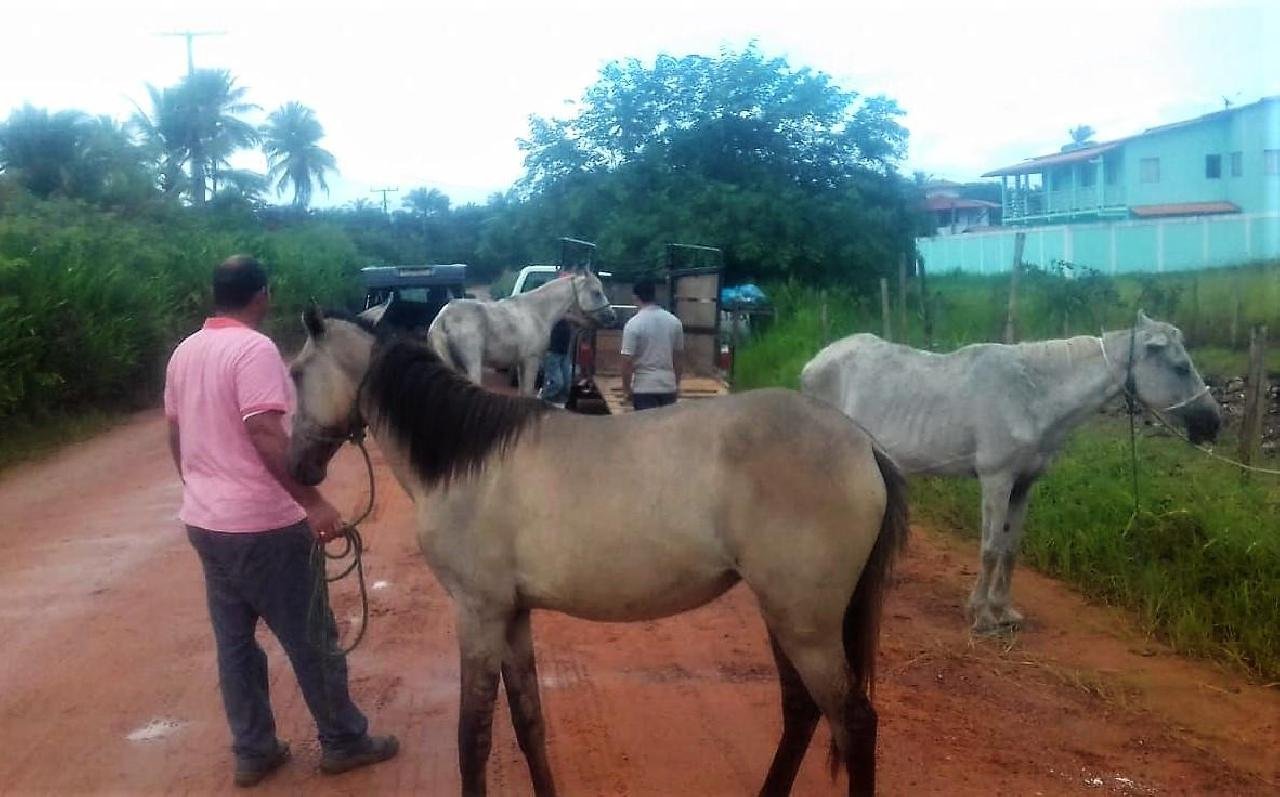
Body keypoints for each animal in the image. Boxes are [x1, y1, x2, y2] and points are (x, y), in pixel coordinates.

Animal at [290, 307, 911, 797]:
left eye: (295, 373)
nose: (297, 468)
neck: (466, 460)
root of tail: (863, 445)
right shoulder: (512, 615)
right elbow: (528, 723)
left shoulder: (478, 613)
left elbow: (473, 738)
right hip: (788, 617)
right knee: (804, 711)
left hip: (806, 625)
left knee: (854, 724)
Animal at [424, 269, 614, 394]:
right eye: (596, 293)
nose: (612, 316)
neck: (537, 312)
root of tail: (442, 318)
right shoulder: (531, 361)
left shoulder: (520, 364)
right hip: (472, 365)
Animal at [798, 312, 1218, 637]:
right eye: (1182, 367)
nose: (1214, 423)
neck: (1033, 394)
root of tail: (815, 361)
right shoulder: (996, 481)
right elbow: (989, 549)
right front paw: (982, 616)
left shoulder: (1024, 485)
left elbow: (1011, 548)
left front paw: (1003, 611)